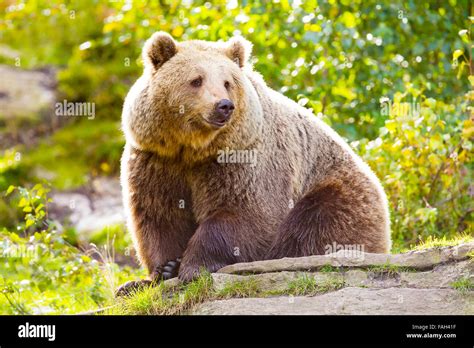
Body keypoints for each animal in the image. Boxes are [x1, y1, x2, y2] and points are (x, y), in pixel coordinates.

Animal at [116, 32, 390, 294]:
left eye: (227, 82)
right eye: (196, 80)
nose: (224, 106)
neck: (194, 148)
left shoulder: (242, 157)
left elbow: (244, 212)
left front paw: (193, 267)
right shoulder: (157, 159)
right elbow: (160, 214)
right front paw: (162, 269)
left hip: (335, 191)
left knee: (318, 226)